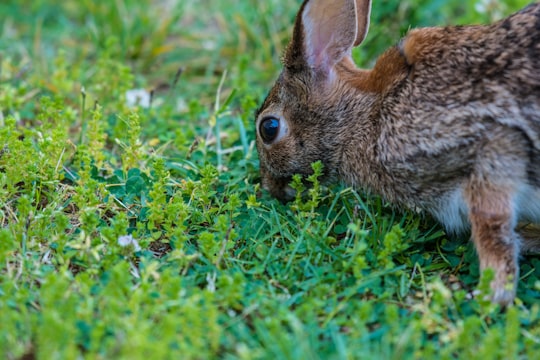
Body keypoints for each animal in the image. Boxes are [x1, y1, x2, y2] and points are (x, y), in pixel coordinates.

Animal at [256, 0, 540, 306]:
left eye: (269, 128)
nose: (270, 188)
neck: (368, 114)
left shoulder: (493, 148)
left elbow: (492, 230)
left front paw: (489, 296)